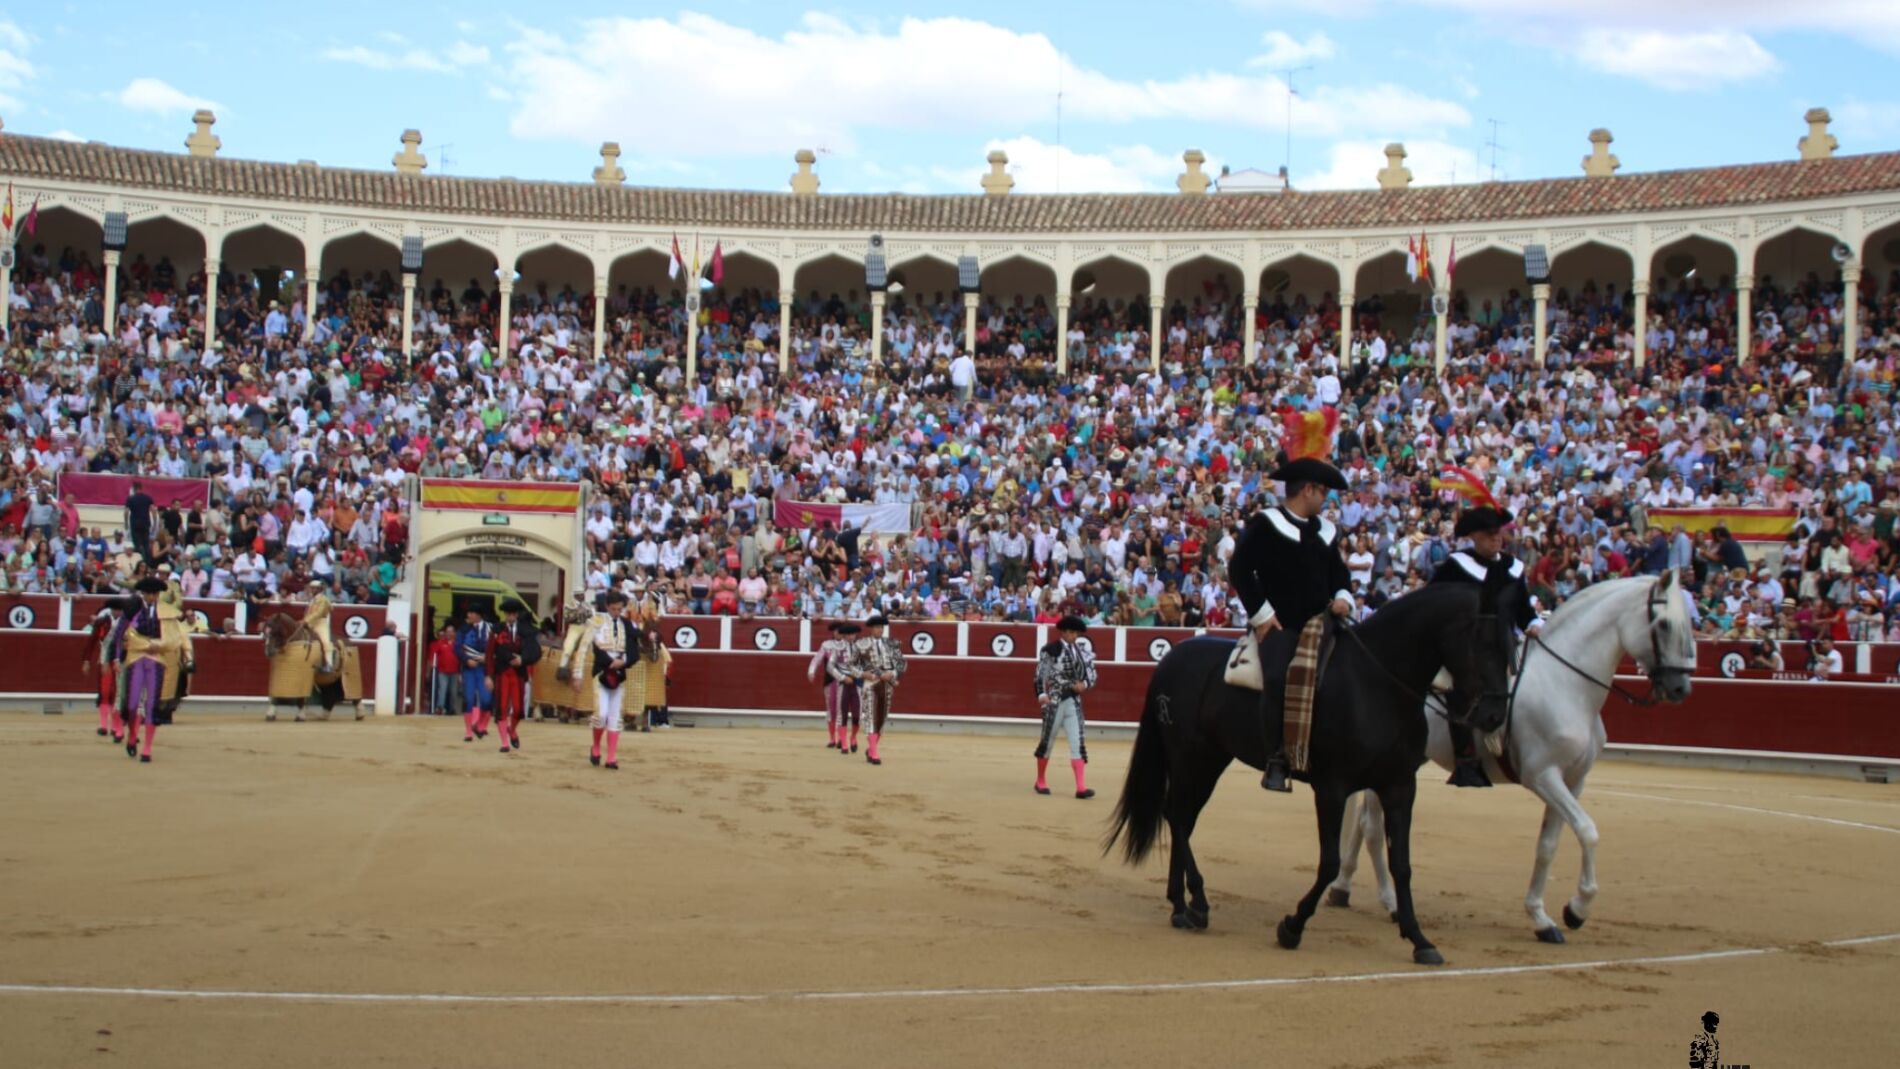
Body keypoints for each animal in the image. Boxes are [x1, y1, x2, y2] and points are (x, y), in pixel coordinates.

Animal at [1109, 581, 1504, 964]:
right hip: (1189, 755)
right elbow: (1329, 862)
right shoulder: (1332, 786)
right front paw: (1291, 927)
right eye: (1482, 640)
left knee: (1183, 820)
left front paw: (1419, 939)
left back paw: (1180, 906)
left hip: (1212, 758)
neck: (1376, 683)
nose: (1494, 716)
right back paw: (1198, 905)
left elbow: (1402, 864)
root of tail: (1171, 659)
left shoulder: (1399, 786)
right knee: (1176, 816)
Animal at [1330, 577, 1702, 945]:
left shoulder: (1573, 781)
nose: (1680, 688)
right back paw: (1389, 901)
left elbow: (1548, 845)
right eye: (1664, 624)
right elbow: (1587, 830)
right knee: (1373, 828)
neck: (1565, 684)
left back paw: (1343, 888)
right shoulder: (1542, 776)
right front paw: (1577, 909)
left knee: (1364, 823)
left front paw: (1542, 918)